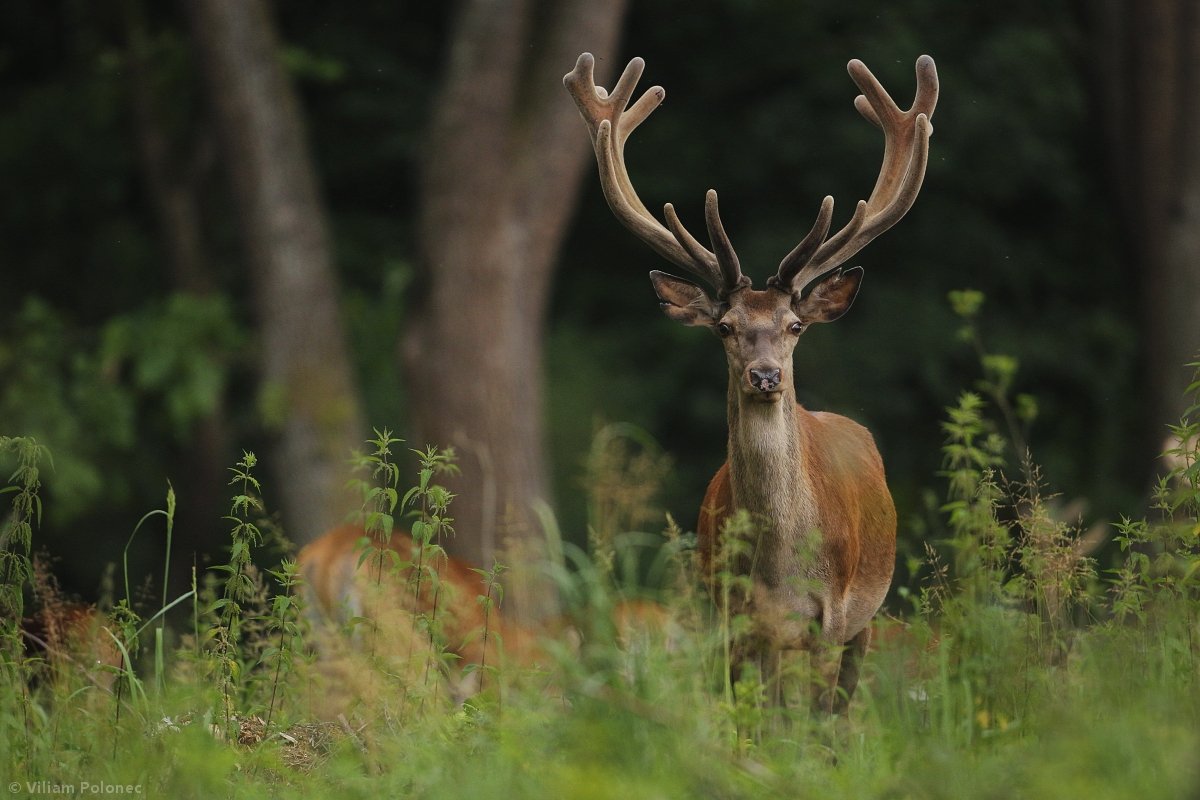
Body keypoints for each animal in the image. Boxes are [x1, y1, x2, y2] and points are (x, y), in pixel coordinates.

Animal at [561, 53, 936, 714]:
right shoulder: (731, 617)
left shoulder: (827, 618)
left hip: (866, 617)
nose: (765, 375)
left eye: (794, 326)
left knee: (841, 706)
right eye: (725, 326)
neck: (780, 570)